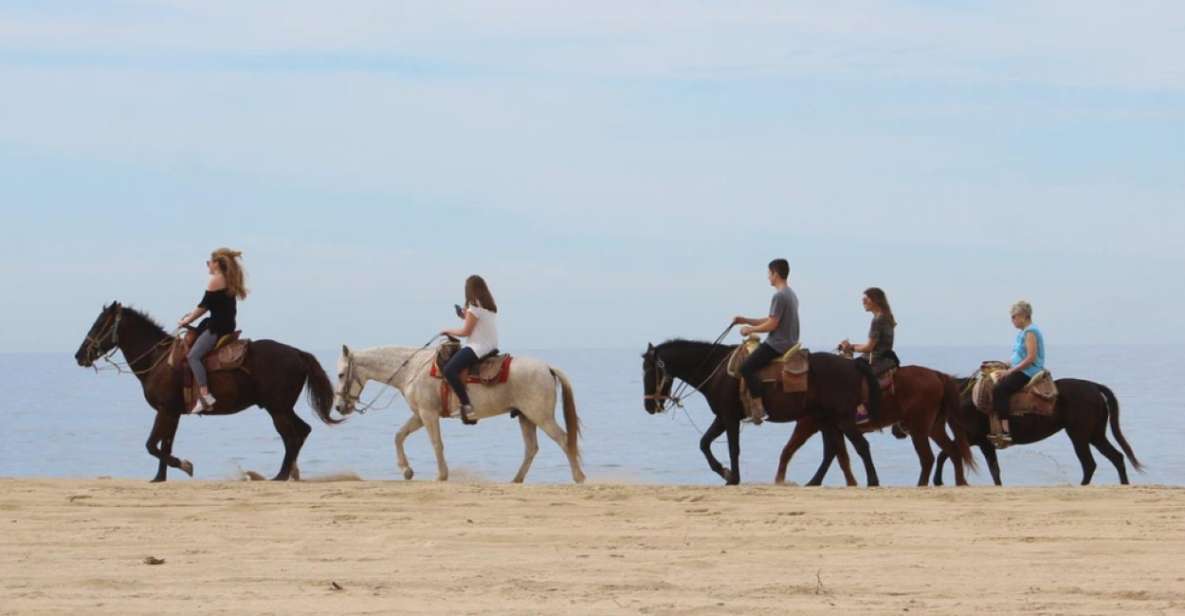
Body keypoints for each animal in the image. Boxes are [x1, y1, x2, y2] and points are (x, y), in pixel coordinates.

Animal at [75, 302, 338, 480]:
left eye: (99, 325)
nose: (79, 356)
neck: (159, 360)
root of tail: (298, 353)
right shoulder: (172, 413)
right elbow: (164, 445)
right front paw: (159, 478)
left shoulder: (165, 410)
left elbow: (151, 445)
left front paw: (184, 465)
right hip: (281, 408)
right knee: (302, 432)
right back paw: (291, 473)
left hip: (277, 409)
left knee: (292, 437)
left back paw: (281, 475)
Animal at [331, 343, 585, 483]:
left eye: (341, 374)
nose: (339, 407)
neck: (412, 369)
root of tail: (547, 367)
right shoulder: (420, 415)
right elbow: (399, 435)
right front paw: (406, 470)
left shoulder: (428, 414)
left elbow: (436, 443)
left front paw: (441, 475)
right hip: (526, 417)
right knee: (531, 448)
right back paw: (516, 479)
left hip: (541, 416)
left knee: (564, 440)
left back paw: (579, 477)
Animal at [639, 338, 881, 483]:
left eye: (649, 371)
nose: (649, 406)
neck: (716, 369)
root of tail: (852, 364)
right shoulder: (722, 417)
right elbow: (704, 443)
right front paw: (724, 471)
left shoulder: (729, 417)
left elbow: (733, 448)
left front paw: (733, 477)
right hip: (826, 419)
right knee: (832, 451)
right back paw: (813, 483)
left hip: (842, 418)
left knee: (862, 446)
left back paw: (873, 481)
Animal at [772, 364, 976, 485]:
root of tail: (936, 374)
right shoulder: (831, 428)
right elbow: (835, 455)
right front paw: (816, 482)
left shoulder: (807, 425)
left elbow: (788, 450)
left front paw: (781, 479)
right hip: (934, 428)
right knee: (953, 451)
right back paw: (960, 482)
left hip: (919, 429)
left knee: (927, 458)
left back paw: (921, 485)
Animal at [933, 374, 1137, 485]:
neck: (966, 399)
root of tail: (1094, 387)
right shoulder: (976, 440)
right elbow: (948, 454)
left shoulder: (979, 440)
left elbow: (950, 454)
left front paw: (937, 480)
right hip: (1095, 435)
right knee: (1116, 457)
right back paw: (1124, 484)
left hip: (1079, 436)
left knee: (1089, 464)